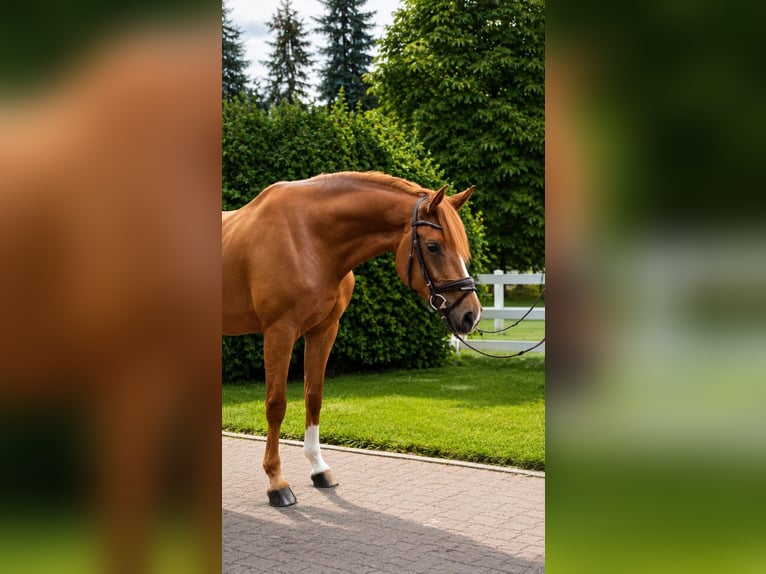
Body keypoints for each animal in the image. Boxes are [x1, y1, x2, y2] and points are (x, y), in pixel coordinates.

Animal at [222, 171, 482, 507]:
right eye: (433, 246)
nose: (470, 315)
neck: (309, 240)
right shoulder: (279, 332)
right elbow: (276, 404)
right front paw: (277, 482)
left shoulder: (324, 330)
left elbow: (314, 397)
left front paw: (319, 468)